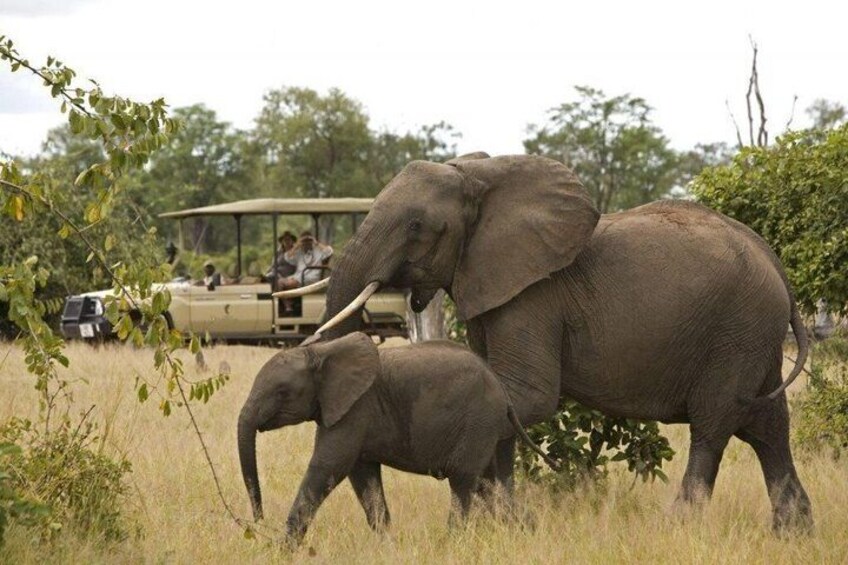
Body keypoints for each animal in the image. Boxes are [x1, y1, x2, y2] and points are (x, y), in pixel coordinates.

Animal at [237, 332, 556, 546]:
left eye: (282, 392)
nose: (258, 520)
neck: (320, 351)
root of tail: (502, 391)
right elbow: (362, 477)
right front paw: (386, 545)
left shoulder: (356, 407)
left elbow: (328, 467)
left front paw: (281, 550)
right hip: (489, 429)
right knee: (491, 484)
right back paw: (527, 531)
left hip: (478, 420)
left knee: (464, 481)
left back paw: (450, 543)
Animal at [308, 152, 813, 532]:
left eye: (416, 226)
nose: (384, 528)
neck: (480, 174)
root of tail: (774, 260)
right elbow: (498, 398)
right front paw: (504, 525)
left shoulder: (533, 296)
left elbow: (524, 396)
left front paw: (501, 522)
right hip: (753, 335)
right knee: (769, 428)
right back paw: (793, 533)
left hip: (736, 332)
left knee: (713, 426)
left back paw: (678, 527)